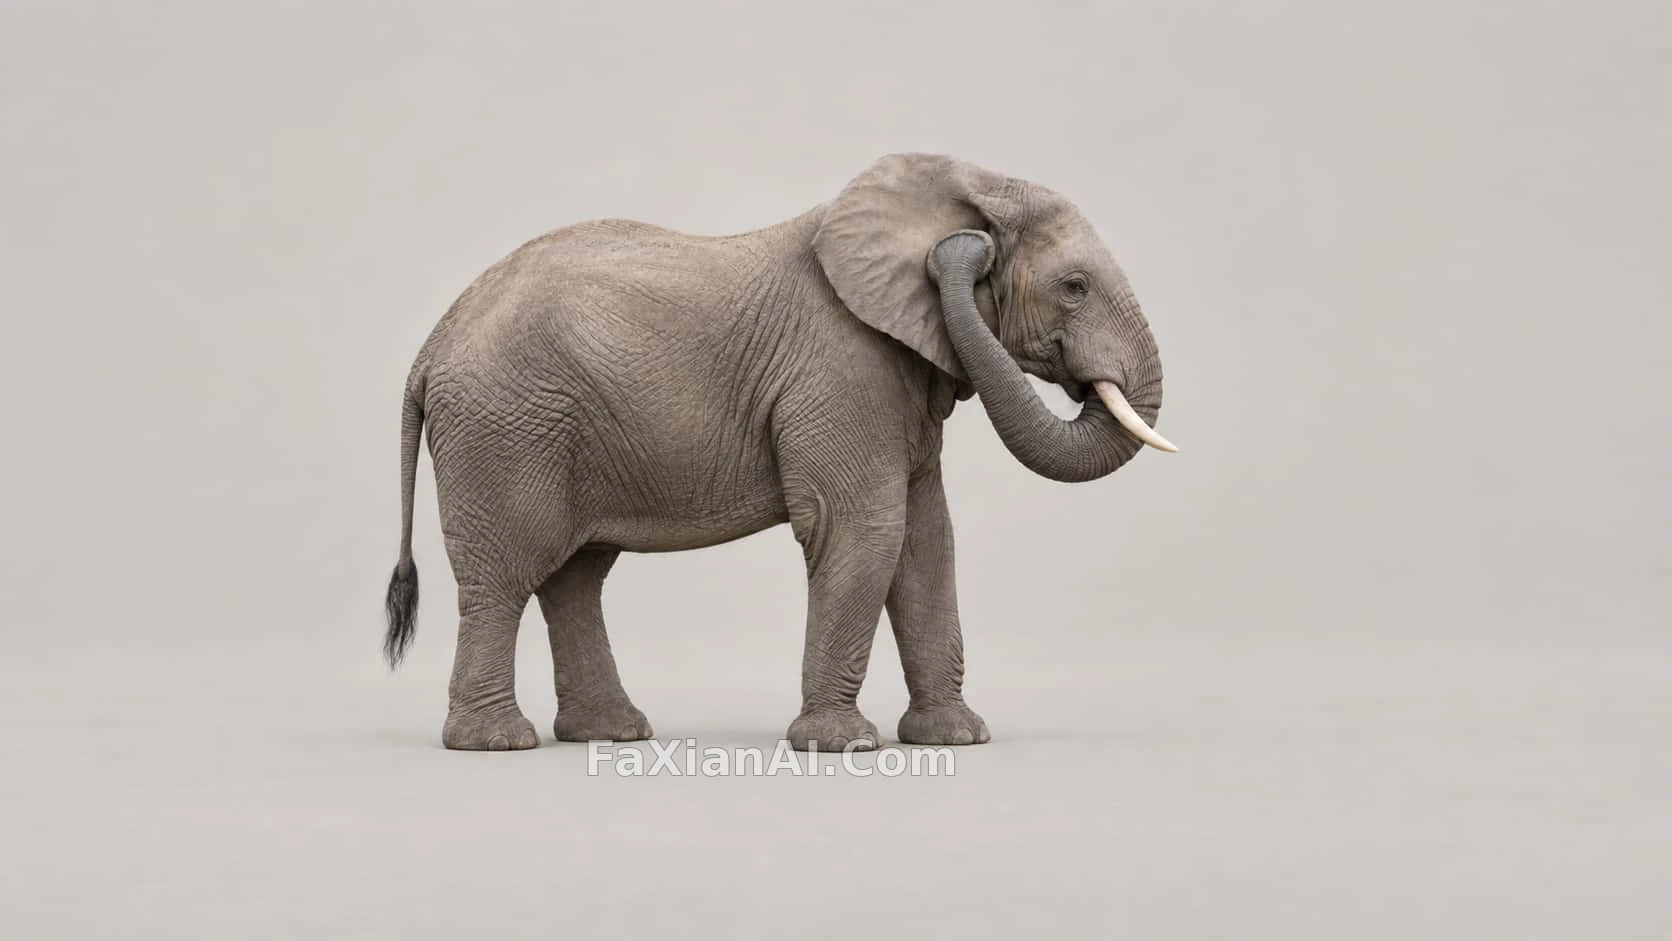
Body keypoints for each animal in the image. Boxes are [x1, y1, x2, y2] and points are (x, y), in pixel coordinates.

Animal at [381, 152, 1176, 752]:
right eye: (1074, 287)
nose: (967, 251)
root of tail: (430, 347)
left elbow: (927, 539)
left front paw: (957, 738)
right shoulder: (840, 366)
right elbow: (865, 530)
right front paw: (844, 746)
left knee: (574, 575)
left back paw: (612, 733)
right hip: (506, 429)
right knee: (509, 572)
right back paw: (498, 742)